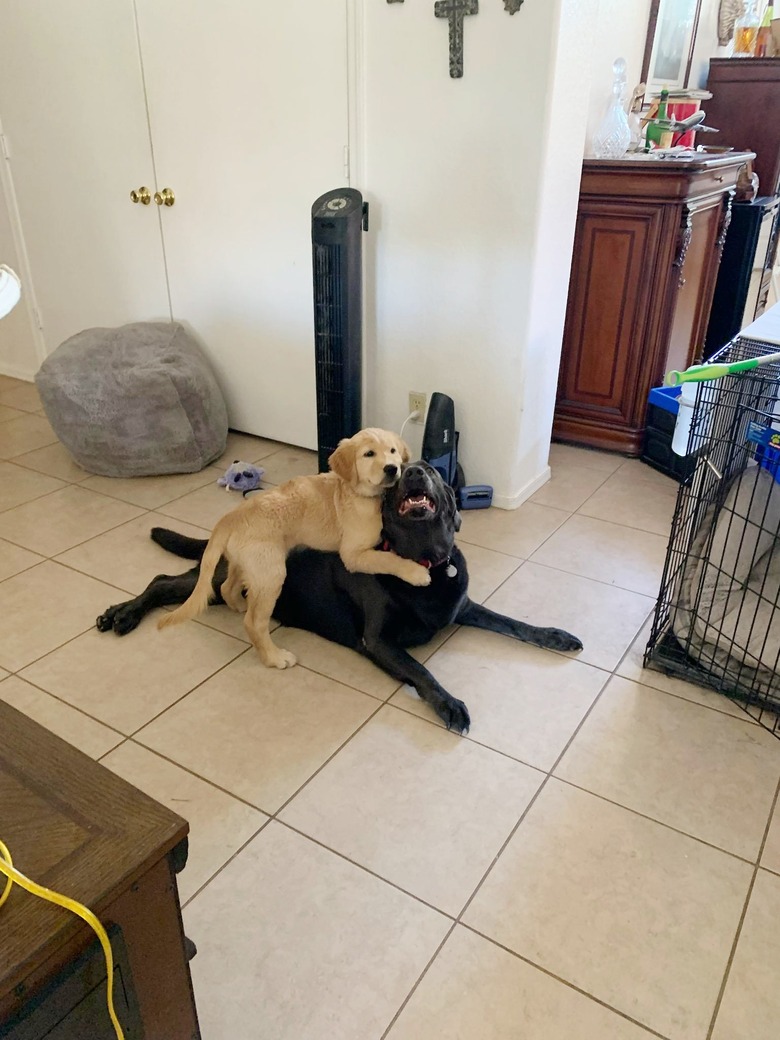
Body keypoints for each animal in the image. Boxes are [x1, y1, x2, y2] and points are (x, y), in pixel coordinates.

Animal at [97, 459, 582, 736]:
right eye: (403, 475)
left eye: (433, 471)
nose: (412, 472)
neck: (423, 560)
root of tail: (228, 524)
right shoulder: (379, 640)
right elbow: (423, 672)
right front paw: (449, 703)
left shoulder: (463, 606)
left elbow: (515, 623)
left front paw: (555, 636)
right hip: (219, 584)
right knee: (162, 581)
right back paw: (121, 615)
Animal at [157, 428, 430, 665]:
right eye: (369, 454)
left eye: (393, 451)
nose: (392, 468)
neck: (355, 491)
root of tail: (230, 517)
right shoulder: (353, 555)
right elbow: (388, 559)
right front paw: (417, 573)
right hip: (272, 572)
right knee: (253, 622)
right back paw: (275, 658)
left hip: (248, 564)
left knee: (227, 587)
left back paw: (239, 606)